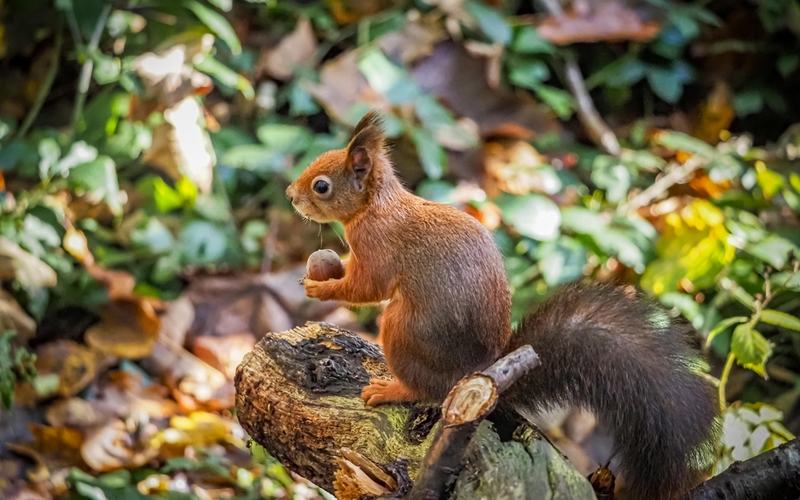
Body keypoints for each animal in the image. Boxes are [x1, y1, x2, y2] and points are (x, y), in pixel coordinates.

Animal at [285, 112, 720, 499]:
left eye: (322, 186)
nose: (291, 195)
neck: (375, 205)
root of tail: (480, 372)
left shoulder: (377, 245)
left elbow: (366, 286)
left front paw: (320, 287)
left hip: (402, 330)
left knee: (426, 388)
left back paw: (391, 388)